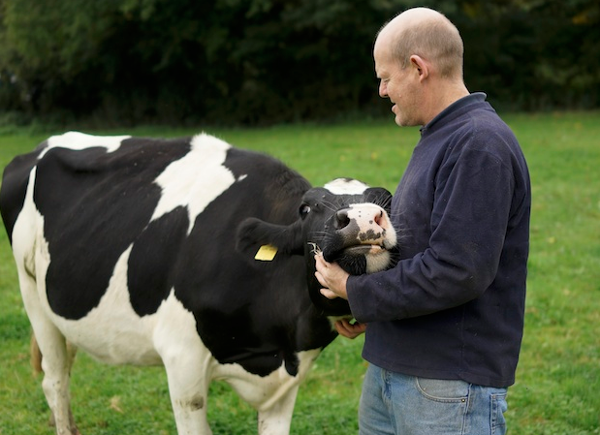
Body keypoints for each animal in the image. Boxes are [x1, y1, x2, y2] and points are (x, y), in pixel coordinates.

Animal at [0, 133, 398, 435]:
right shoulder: (182, 360)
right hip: (32, 296)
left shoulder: (285, 386)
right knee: (55, 381)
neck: (275, 343)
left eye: (388, 201)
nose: (363, 219)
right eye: (306, 209)